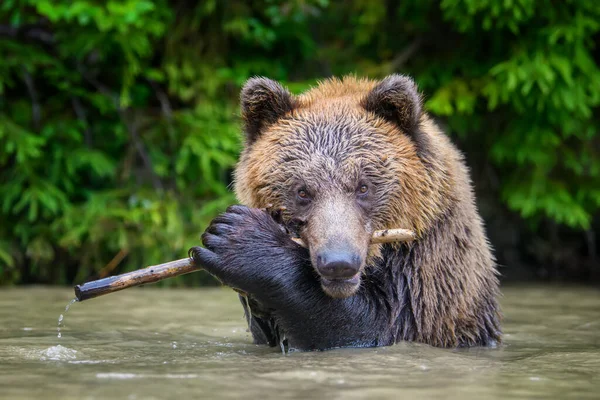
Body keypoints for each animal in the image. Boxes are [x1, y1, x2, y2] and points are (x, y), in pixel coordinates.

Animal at [191, 75, 502, 350]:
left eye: (363, 186)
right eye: (302, 191)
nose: (338, 262)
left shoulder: (426, 285)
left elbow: (370, 326)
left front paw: (236, 235)